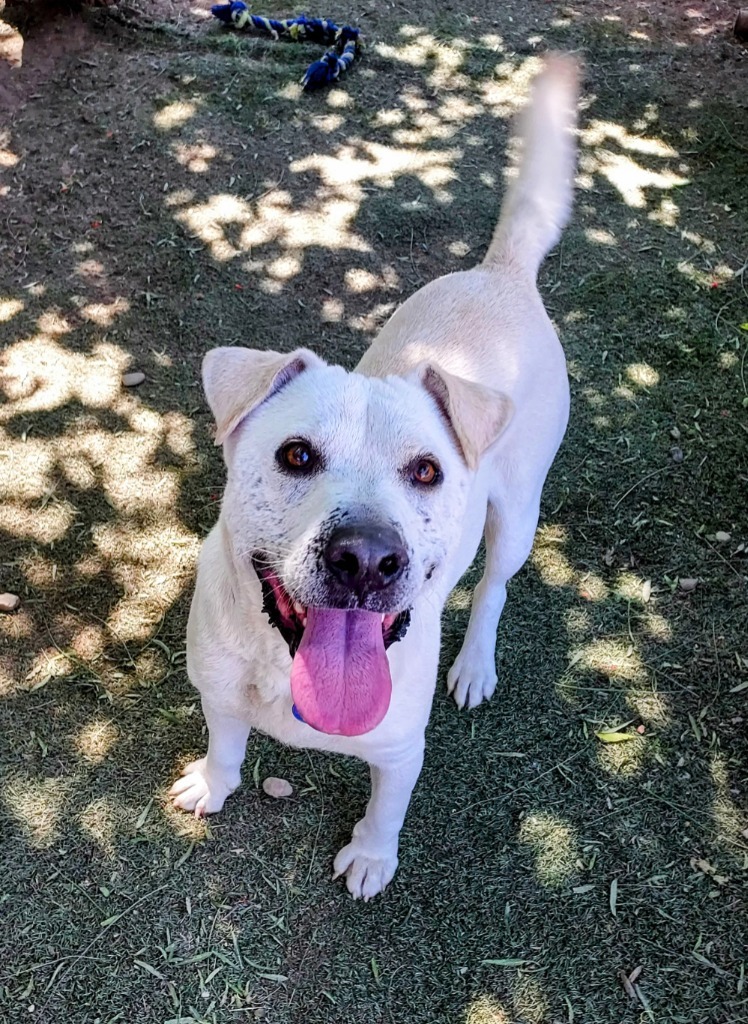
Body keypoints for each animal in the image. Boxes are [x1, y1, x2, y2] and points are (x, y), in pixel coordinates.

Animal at [169, 59, 577, 901]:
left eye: (425, 470)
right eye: (296, 455)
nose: (365, 559)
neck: (288, 668)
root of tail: (500, 273)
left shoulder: (398, 750)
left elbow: (387, 809)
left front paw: (370, 858)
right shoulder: (216, 691)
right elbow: (226, 745)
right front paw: (213, 784)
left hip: (518, 516)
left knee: (493, 589)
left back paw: (475, 663)